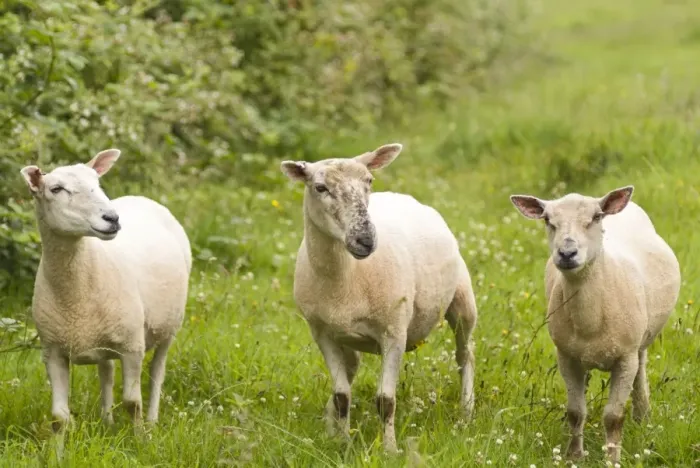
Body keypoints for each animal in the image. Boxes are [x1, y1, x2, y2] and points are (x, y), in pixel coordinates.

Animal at [20, 149, 191, 430]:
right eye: (56, 189)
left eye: (97, 183)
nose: (112, 218)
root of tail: (141, 198)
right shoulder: (53, 351)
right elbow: (59, 417)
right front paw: (59, 445)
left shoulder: (133, 346)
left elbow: (133, 403)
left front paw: (140, 438)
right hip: (103, 336)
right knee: (107, 372)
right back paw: (107, 421)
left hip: (169, 326)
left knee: (157, 372)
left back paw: (152, 421)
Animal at [280, 143, 478, 453]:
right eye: (320, 187)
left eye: (369, 181)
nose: (365, 239)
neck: (346, 279)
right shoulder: (322, 334)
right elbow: (341, 396)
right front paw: (342, 441)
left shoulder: (394, 333)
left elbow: (386, 401)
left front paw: (390, 449)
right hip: (344, 336)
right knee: (351, 369)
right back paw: (331, 425)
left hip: (462, 300)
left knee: (465, 354)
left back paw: (466, 411)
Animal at [510, 186, 680, 464]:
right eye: (548, 220)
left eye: (596, 217)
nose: (567, 253)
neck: (589, 318)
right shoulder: (566, 356)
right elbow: (575, 411)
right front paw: (573, 456)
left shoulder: (625, 357)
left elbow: (613, 417)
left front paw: (612, 459)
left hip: (640, 340)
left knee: (641, 370)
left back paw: (642, 415)